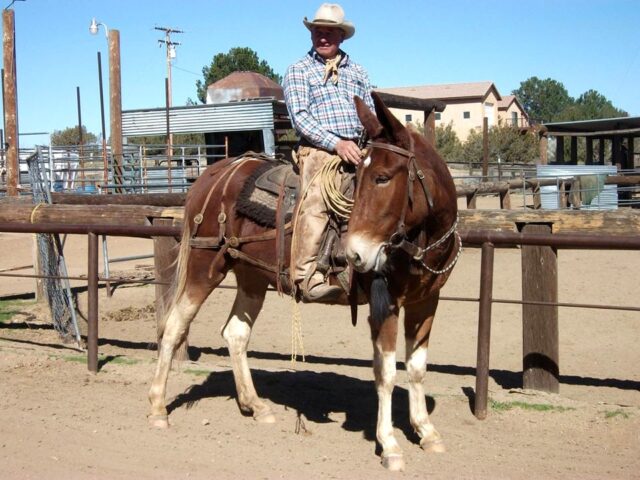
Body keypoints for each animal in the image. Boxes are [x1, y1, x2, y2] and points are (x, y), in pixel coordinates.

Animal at [148, 91, 460, 471]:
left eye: (383, 177)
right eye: (363, 177)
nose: (356, 254)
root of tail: (214, 173)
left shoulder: (425, 303)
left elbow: (416, 368)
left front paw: (427, 432)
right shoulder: (384, 304)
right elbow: (386, 373)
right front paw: (390, 445)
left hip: (251, 275)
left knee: (236, 333)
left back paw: (256, 406)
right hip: (203, 266)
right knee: (174, 326)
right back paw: (158, 408)